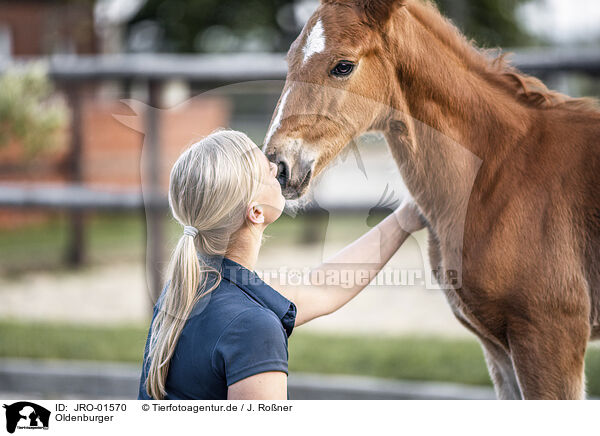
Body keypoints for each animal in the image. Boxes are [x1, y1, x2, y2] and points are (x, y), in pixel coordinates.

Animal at [264, 0, 600, 400]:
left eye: (343, 66)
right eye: (289, 60)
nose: (277, 165)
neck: (499, 170)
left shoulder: (550, 336)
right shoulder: (499, 349)